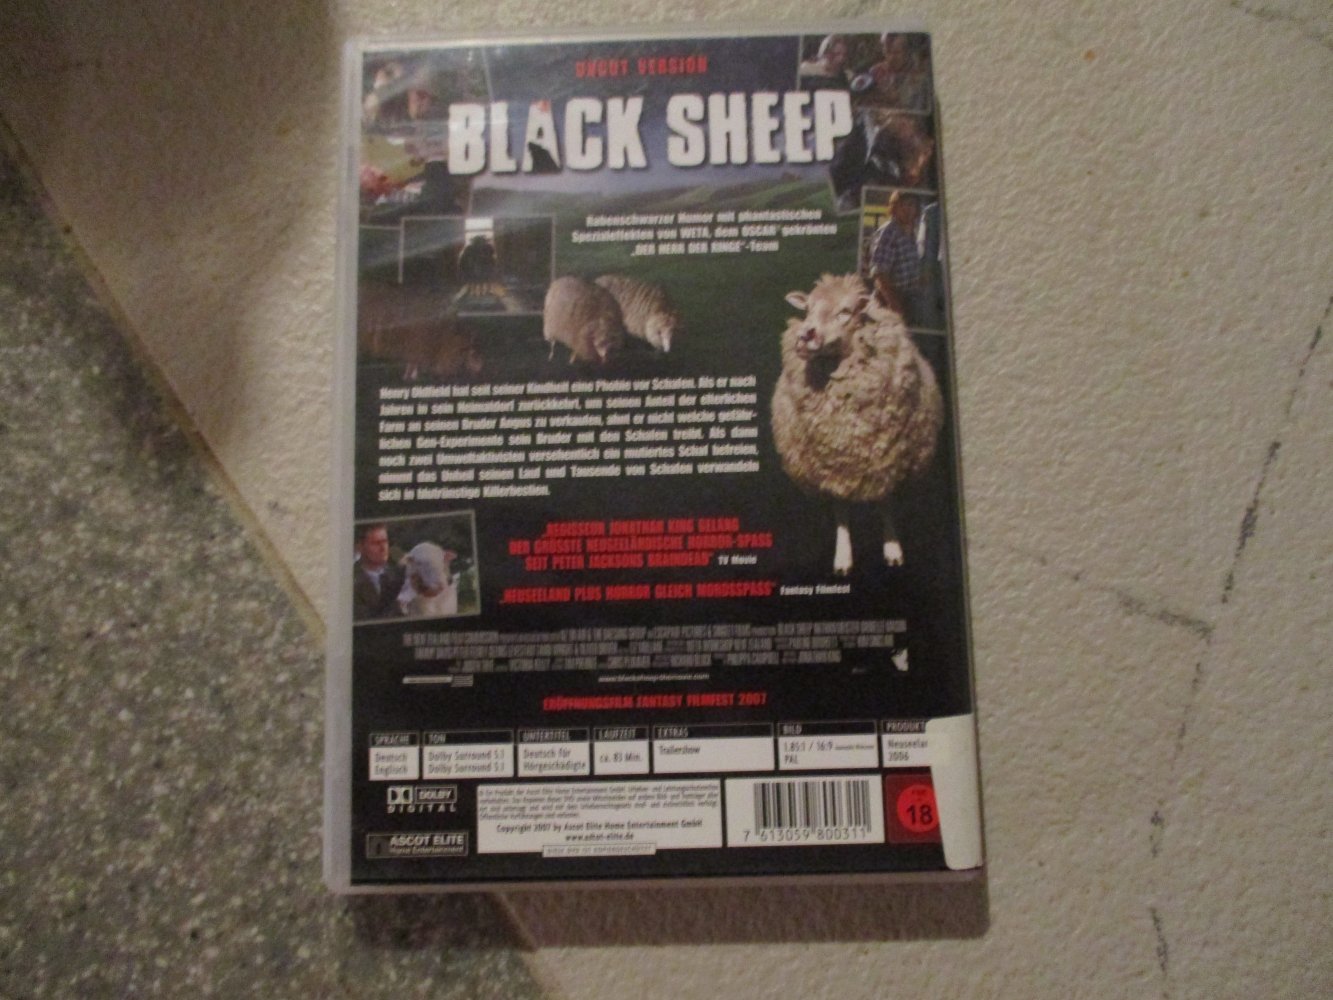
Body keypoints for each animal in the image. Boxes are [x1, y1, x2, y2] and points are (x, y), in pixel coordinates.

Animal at [769, 273, 943, 575]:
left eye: (845, 312)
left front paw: (892, 547)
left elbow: (885, 502)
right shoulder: (831, 462)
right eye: (807, 309)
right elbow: (840, 510)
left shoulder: (888, 455)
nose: (806, 335)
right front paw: (843, 557)